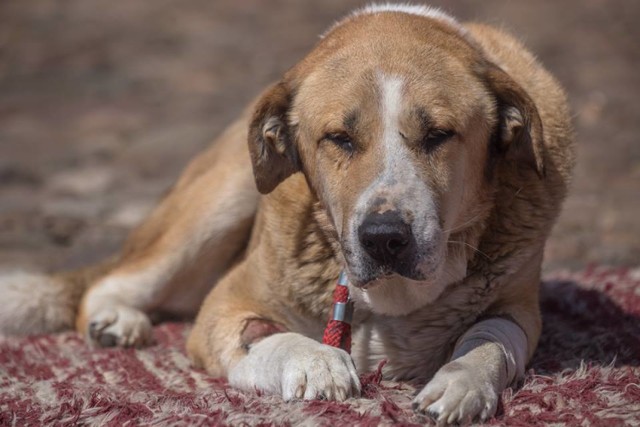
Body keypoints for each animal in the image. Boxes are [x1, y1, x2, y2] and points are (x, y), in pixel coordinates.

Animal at [0, 3, 576, 424]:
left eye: (438, 135)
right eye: (339, 138)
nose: (384, 237)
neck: (384, 300)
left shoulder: (519, 308)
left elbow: (490, 339)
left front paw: (460, 381)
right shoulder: (225, 307)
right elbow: (268, 337)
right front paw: (317, 361)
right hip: (222, 198)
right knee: (105, 286)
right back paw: (117, 320)